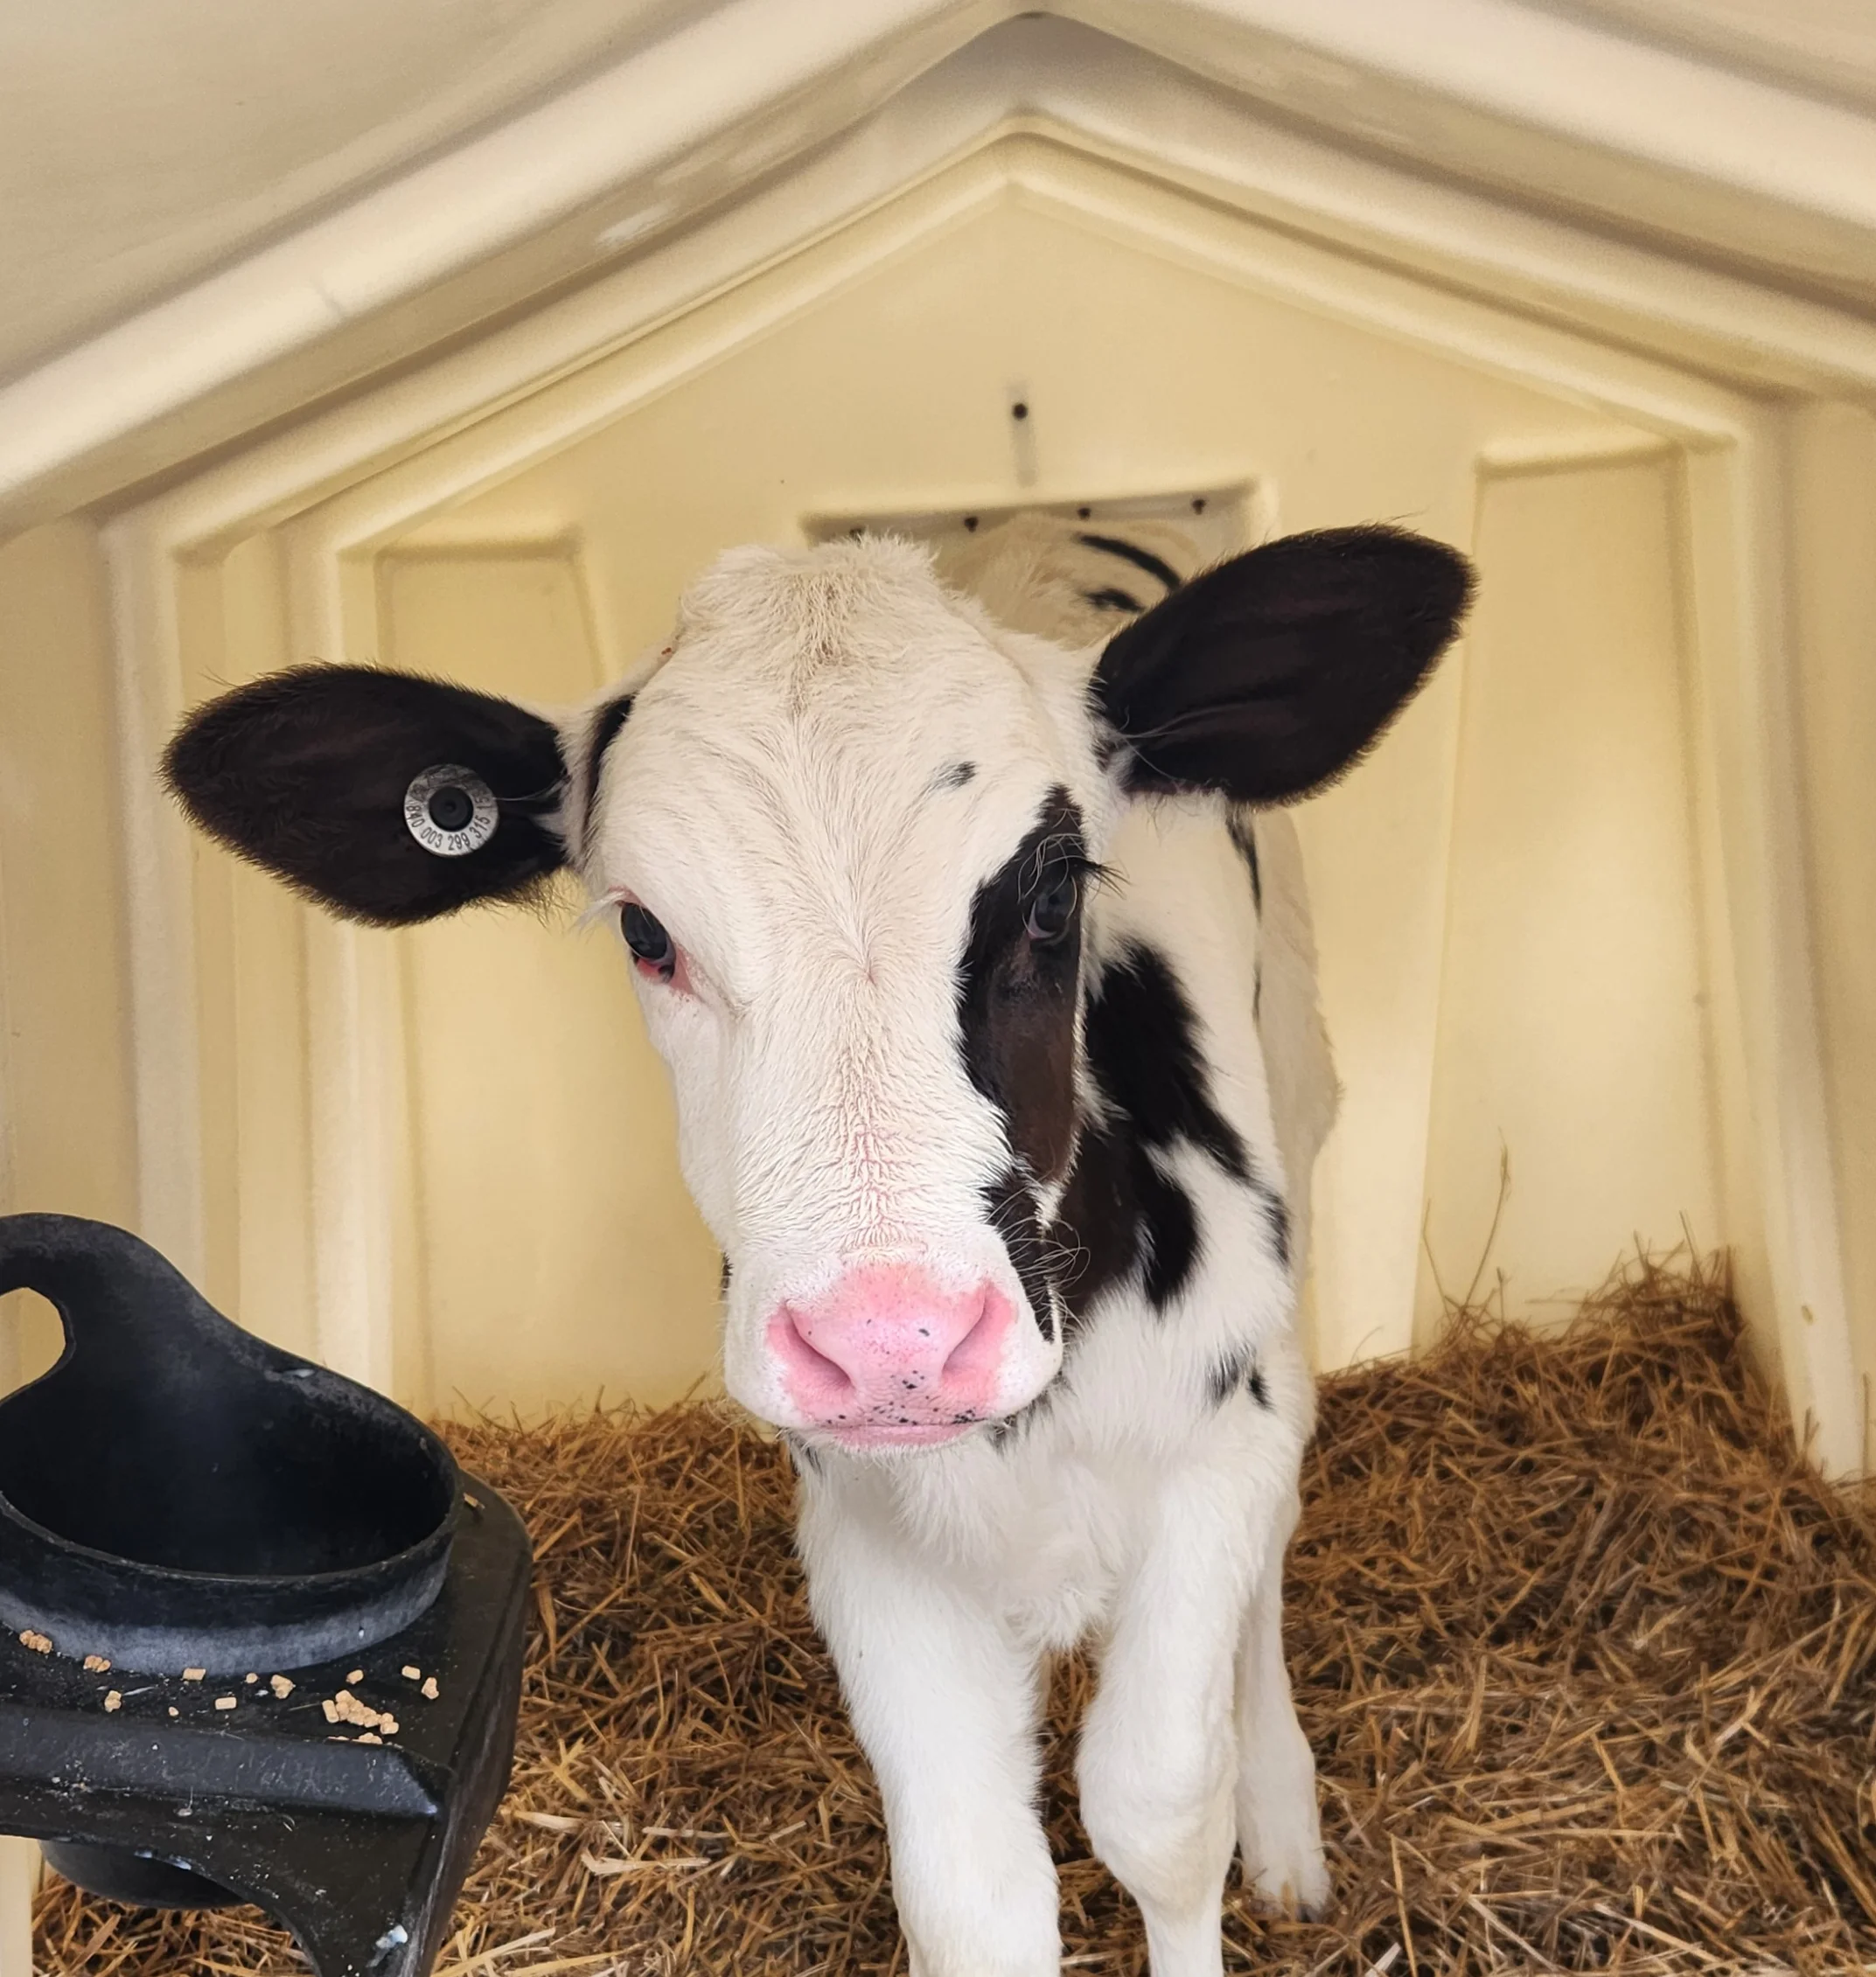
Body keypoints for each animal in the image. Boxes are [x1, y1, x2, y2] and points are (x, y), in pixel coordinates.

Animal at [165, 511, 1472, 1976]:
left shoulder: (1209, 1451)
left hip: (1298, 1095)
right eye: (645, 929)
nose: (892, 1339)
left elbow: (1159, 1810)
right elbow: (972, 1890)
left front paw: (1243, 1822)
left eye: (1051, 897)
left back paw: (1286, 1818)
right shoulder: (869, 1532)